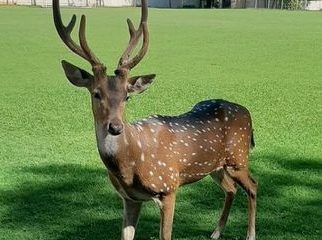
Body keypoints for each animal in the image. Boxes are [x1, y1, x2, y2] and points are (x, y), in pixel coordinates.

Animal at [53, 0, 260, 240]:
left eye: (127, 96)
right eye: (96, 93)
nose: (115, 126)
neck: (130, 163)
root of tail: (247, 113)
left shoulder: (169, 186)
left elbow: (165, 234)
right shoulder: (130, 198)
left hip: (238, 158)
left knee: (253, 185)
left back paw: (250, 234)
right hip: (215, 167)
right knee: (230, 188)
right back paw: (216, 232)